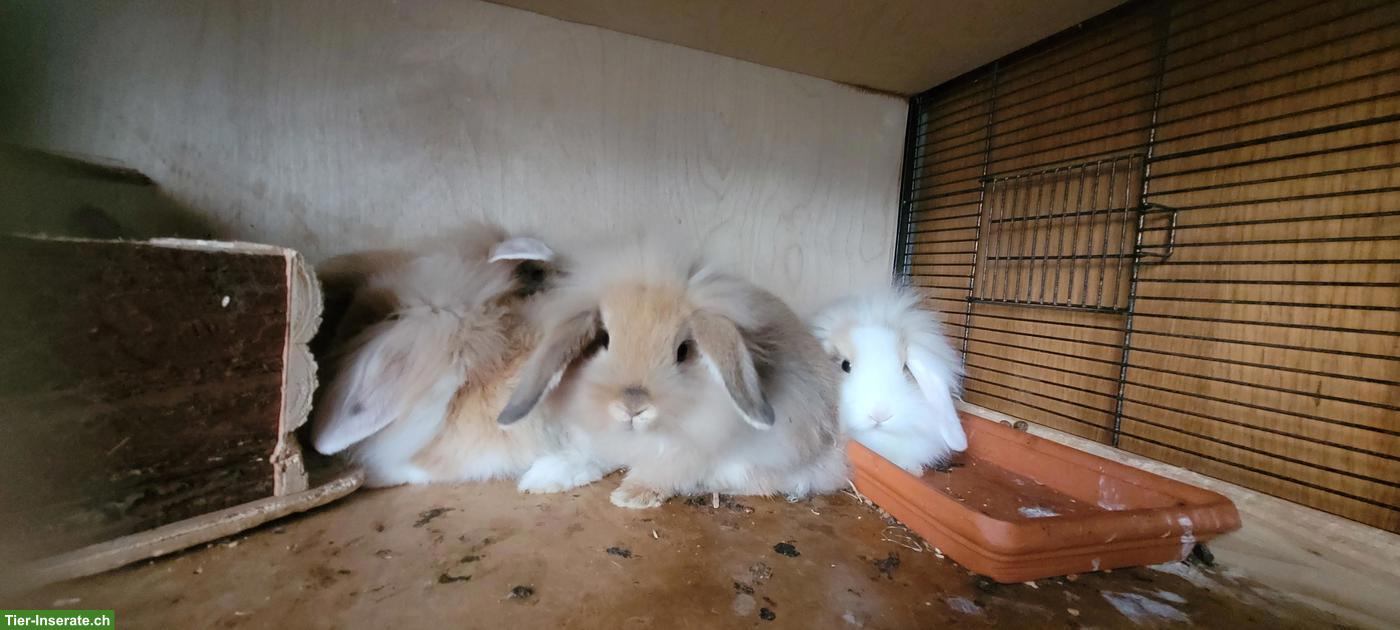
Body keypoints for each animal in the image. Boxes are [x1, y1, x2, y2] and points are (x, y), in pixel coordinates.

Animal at [495, 236, 848, 509]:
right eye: (603, 339)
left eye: (683, 351)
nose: (633, 406)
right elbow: (592, 455)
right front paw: (542, 477)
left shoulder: (688, 452)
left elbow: (663, 472)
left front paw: (631, 496)